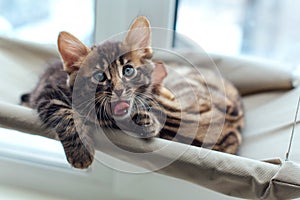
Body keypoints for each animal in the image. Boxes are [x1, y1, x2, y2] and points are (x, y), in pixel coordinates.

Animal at [21, 16, 244, 168]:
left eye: (128, 70)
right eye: (100, 77)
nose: (119, 91)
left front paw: (146, 121)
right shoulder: (49, 95)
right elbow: (66, 116)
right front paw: (81, 153)